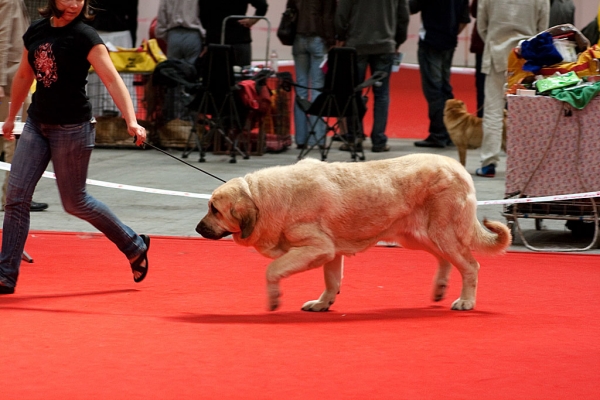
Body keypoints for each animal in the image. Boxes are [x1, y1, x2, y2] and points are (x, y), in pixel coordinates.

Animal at [198, 153, 510, 312]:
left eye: (215, 209)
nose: (198, 228)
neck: (261, 199)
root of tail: (458, 166)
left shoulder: (317, 248)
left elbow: (272, 270)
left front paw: (274, 299)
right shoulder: (331, 252)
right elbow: (332, 281)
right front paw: (323, 303)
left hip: (442, 233)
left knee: (470, 265)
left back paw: (466, 301)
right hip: (418, 236)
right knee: (445, 259)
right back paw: (439, 289)